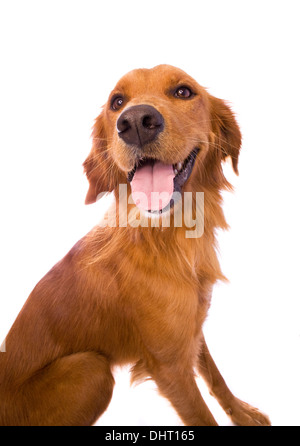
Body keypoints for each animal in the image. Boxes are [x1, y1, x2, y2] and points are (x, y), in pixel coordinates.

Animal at [0, 63, 270, 426]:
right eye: (117, 101)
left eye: (183, 91)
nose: (137, 122)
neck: (169, 238)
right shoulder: (169, 366)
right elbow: (202, 416)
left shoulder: (191, 329)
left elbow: (216, 376)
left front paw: (242, 413)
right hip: (91, 368)